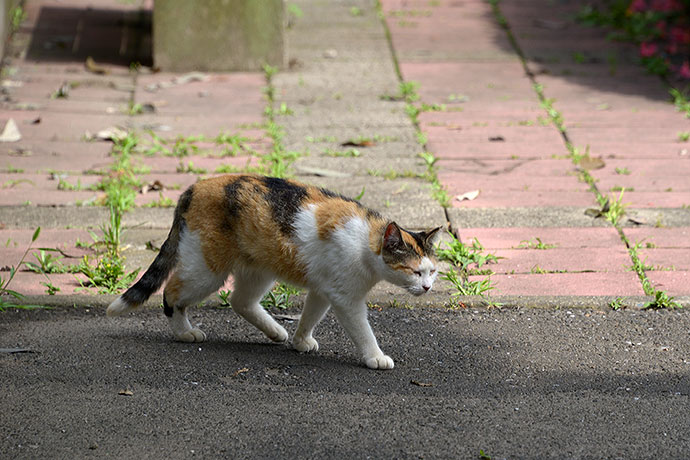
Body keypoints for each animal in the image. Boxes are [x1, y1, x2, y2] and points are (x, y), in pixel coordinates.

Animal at [109, 174, 440, 368]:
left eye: (432, 272)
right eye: (414, 272)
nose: (427, 288)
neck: (366, 240)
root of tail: (193, 188)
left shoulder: (324, 289)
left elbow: (310, 316)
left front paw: (300, 341)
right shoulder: (346, 299)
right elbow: (363, 330)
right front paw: (375, 357)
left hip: (259, 270)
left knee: (239, 301)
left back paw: (276, 331)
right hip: (207, 270)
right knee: (172, 291)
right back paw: (184, 332)